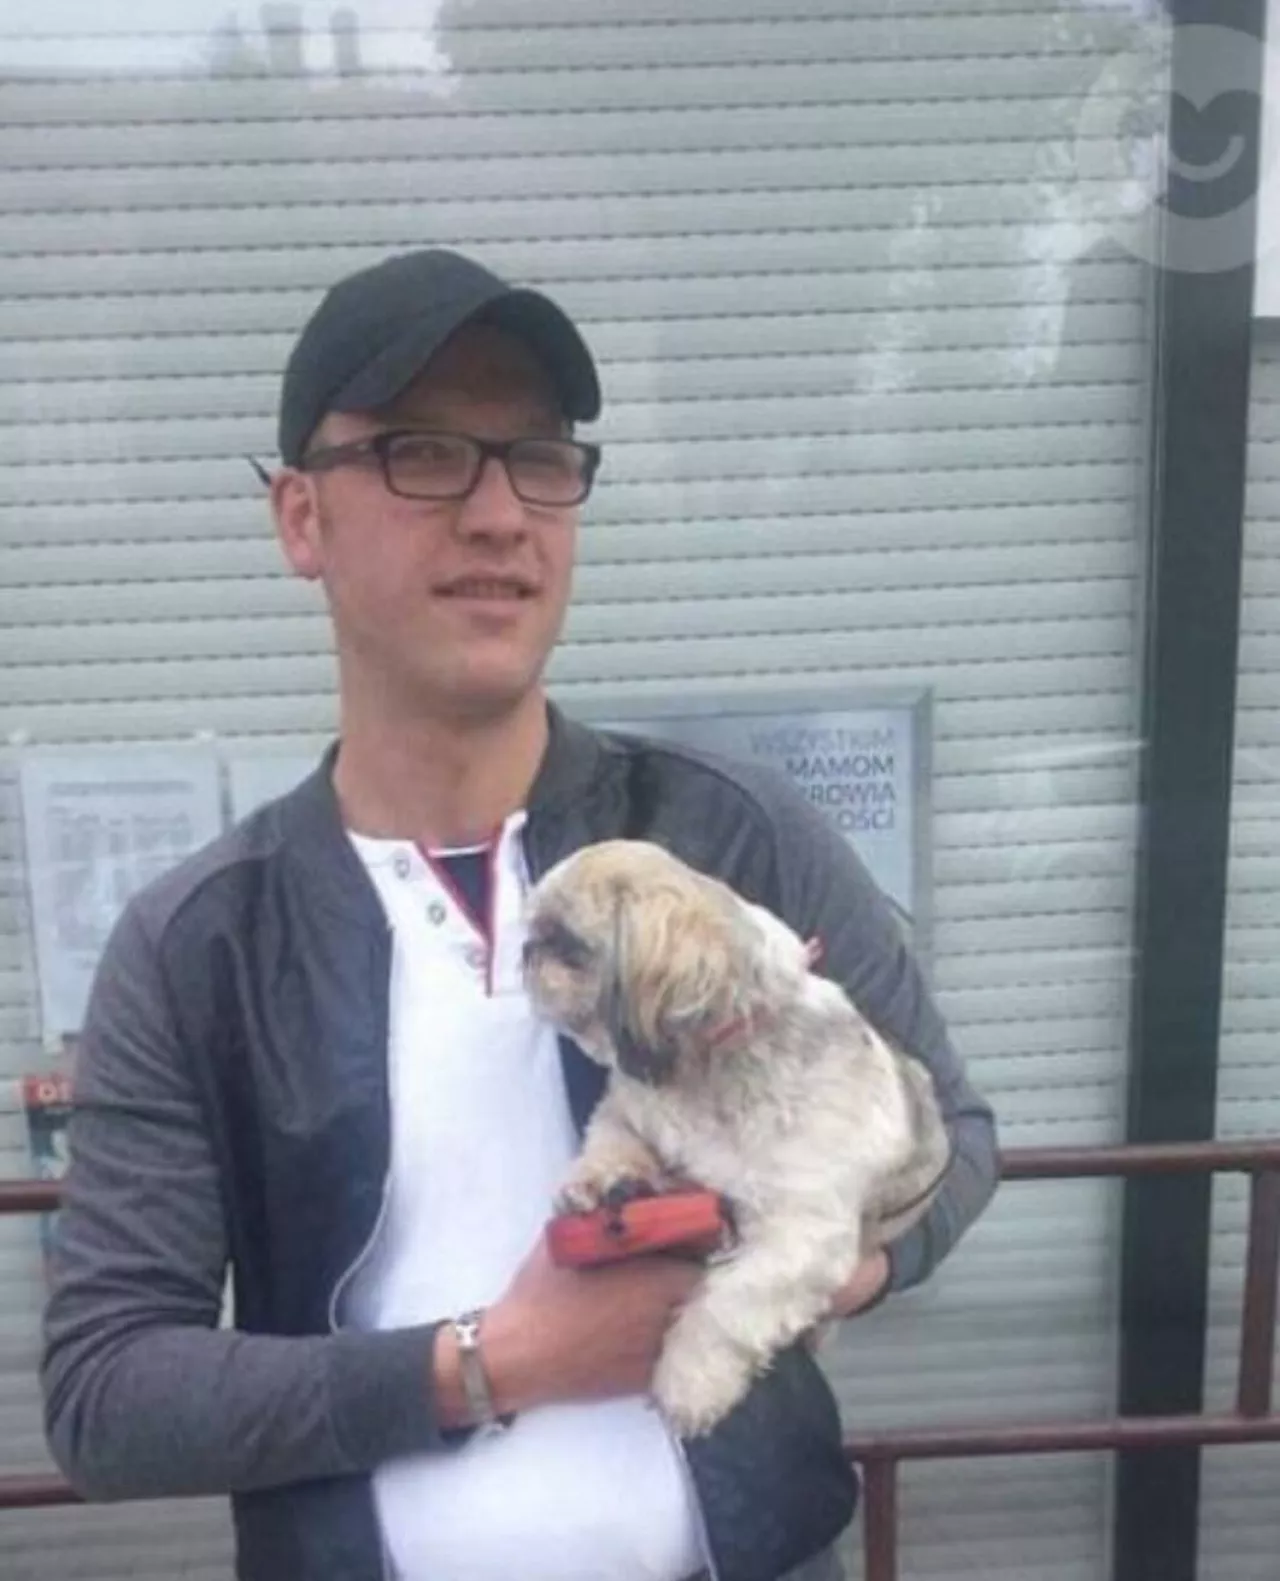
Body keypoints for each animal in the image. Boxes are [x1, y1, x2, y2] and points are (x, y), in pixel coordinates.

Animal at [521, 838, 951, 1438]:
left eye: (565, 944)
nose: (526, 951)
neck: (708, 1072)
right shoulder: (626, 1109)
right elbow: (611, 1140)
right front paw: (603, 1180)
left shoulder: (799, 1238)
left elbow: (728, 1304)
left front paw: (687, 1382)